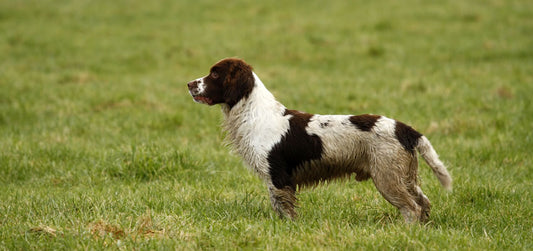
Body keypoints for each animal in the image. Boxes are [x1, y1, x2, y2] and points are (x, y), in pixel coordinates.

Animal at [185, 57, 450, 223]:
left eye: (215, 73)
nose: (188, 84)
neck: (253, 112)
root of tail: (405, 129)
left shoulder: (278, 177)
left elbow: (285, 210)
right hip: (404, 175)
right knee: (424, 202)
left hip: (387, 177)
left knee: (412, 208)